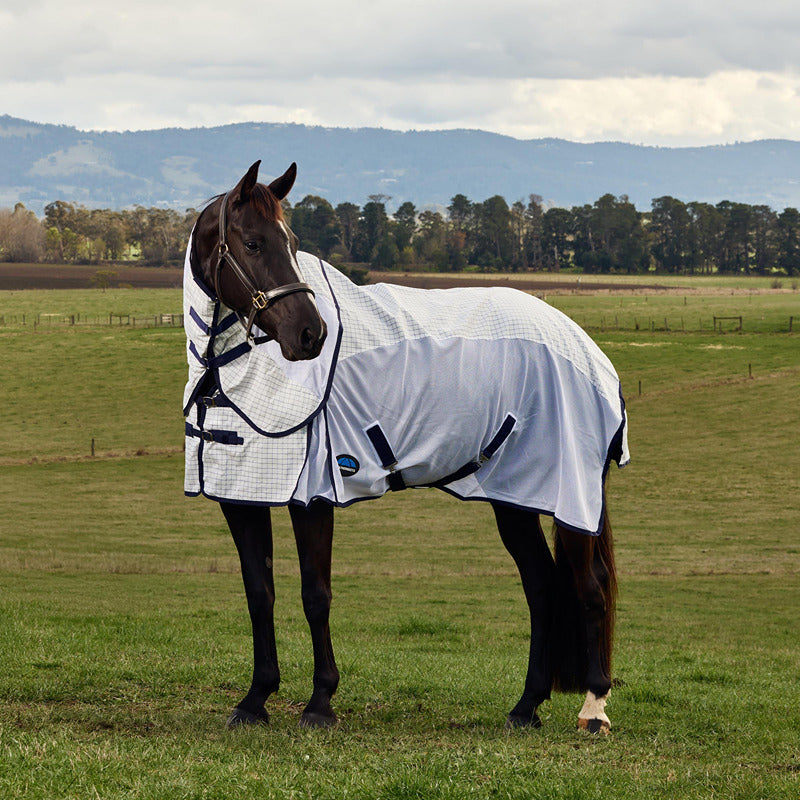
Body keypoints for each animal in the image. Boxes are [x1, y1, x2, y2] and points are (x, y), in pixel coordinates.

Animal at [183, 161, 629, 733]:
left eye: (292, 242)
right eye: (254, 243)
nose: (310, 334)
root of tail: (588, 350)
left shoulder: (312, 498)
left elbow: (315, 595)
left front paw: (320, 702)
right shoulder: (241, 496)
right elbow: (260, 594)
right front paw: (255, 699)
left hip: (572, 497)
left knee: (589, 585)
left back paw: (594, 707)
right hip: (515, 498)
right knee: (543, 586)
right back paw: (525, 706)